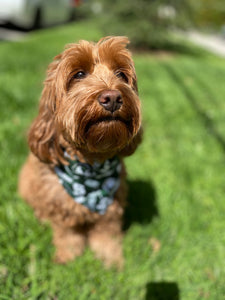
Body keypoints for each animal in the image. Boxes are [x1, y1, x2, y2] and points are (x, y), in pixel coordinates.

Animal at [19, 35, 142, 268]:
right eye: (79, 74)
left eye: (120, 74)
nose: (112, 97)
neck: (91, 164)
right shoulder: (62, 209)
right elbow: (68, 235)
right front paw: (69, 258)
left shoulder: (111, 210)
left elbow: (106, 236)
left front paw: (112, 261)